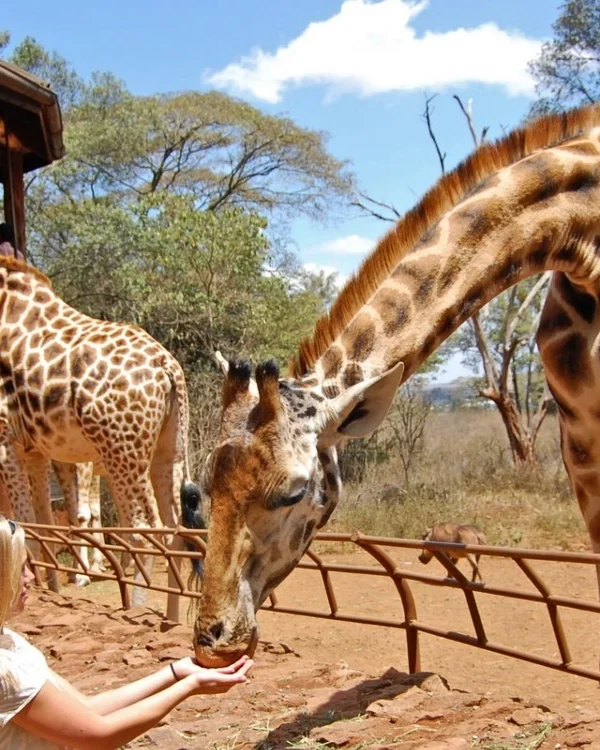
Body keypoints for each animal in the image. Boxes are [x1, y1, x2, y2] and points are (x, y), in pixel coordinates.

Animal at [0, 257, 202, 618]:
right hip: (168, 450)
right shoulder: (34, 448)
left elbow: (26, 525)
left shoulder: (5, 436)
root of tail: (169, 368)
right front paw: (49, 589)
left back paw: (135, 610)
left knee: (143, 532)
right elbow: (42, 524)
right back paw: (170, 617)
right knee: (175, 531)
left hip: (121, 450)